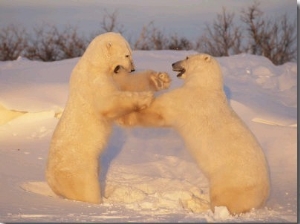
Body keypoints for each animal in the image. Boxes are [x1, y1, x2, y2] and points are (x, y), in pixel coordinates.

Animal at [45, 32, 170, 205]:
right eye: (127, 55)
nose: (132, 69)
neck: (95, 63)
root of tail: (51, 181)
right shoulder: (94, 81)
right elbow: (108, 102)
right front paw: (146, 97)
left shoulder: (114, 76)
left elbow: (127, 83)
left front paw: (160, 79)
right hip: (78, 168)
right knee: (86, 189)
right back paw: (98, 201)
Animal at [118, 53, 270, 214]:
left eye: (187, 57)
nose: (173, 63)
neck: (204, 85)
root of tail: (263, 197)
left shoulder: (186, 99)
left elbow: (158, 112)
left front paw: (124, 117)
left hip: (231, 181)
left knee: (223, 199)